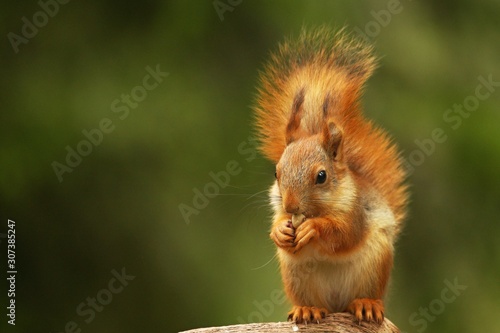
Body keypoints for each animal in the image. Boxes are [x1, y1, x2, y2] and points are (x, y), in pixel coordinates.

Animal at [254, 27, 406, 322]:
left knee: (364, 295)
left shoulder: (356, 210)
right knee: (313, 302)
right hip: (296, 275)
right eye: (276, 173)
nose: (291, 206)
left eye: (321, 176)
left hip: (374, 265)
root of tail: (337, 305)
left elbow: (344, 234)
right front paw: (279, 231)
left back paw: (366, 304)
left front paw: (314, 228)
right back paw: (307, 309)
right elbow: (277, 222)